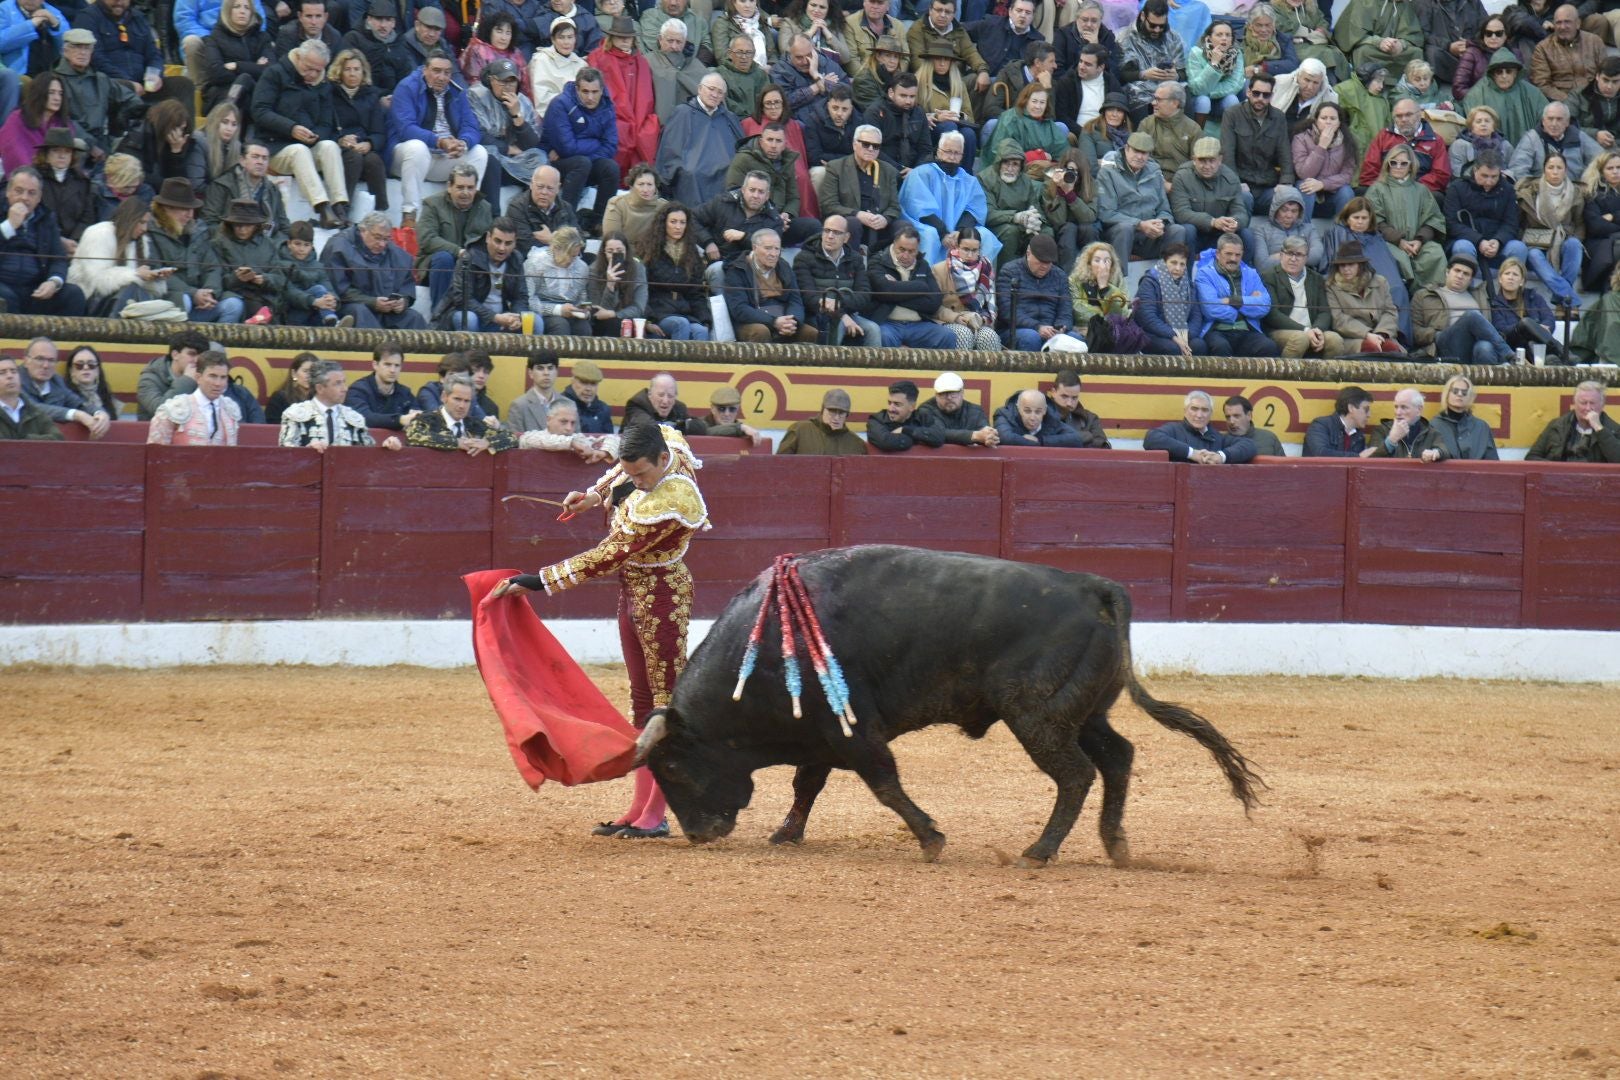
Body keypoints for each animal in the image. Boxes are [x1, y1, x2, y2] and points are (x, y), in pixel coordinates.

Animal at [635, 544, 1263, 867]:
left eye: (672, 767)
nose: (698, 833)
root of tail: (1094, 586)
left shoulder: (853, 732)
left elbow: (884, 785)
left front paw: (931, 840)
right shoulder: (820, 732)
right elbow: (806, 785)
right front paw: (786, 833)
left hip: (1037, 716)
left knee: (1077, 774)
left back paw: (1039, 850)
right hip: (1081, 713)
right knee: (1117, 757)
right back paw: (1116, 844)